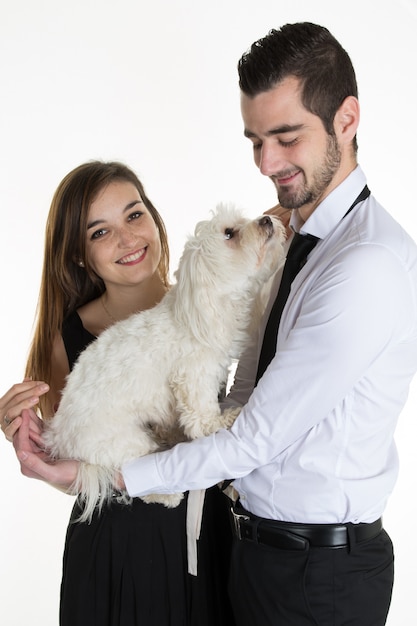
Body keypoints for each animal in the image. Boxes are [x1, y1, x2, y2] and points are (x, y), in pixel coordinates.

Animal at [43, 205, 286, 520]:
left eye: (243, 220)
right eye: (229, 234)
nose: (266, 219)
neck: (195, 309)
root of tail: (59, 438)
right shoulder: (194, 376)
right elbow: (200, 421)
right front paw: (224, 419)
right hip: (123, 441)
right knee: (131, 476)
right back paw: (166, 494)